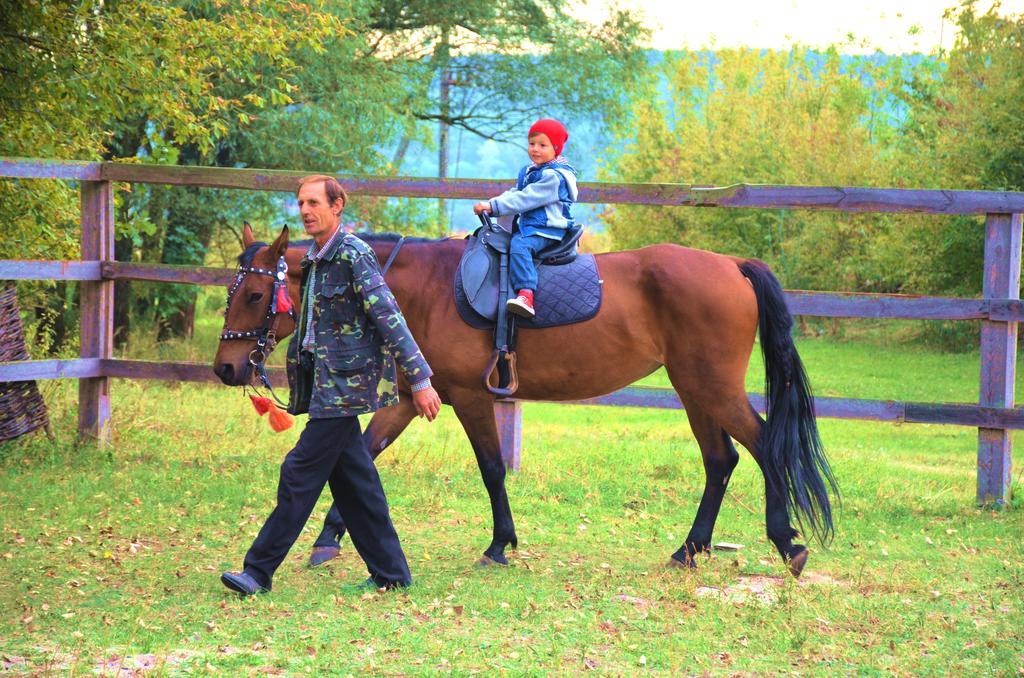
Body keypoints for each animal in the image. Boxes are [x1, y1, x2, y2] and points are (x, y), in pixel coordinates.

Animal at [211, 225, 835, 577]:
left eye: (257, 294)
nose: (226, 367)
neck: (422, 288)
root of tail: (731, 264)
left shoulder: (470, 397)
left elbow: (491, 468)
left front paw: (499, 544)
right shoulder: (413, 398)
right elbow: (368, 447)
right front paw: (327, 538)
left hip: (711, 387)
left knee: (764, 448)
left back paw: (786, 544)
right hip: (694, 389)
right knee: (721, 460)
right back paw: (690, 550)